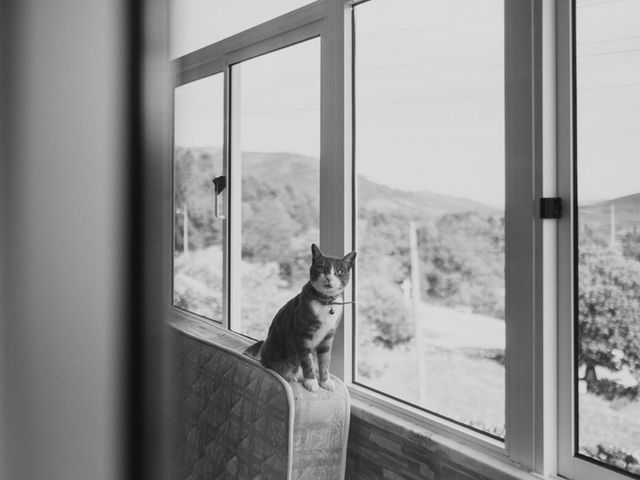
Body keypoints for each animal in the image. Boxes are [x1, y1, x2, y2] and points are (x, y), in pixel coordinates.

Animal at [244, 244, 356, 394]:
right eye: (321, 268)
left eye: (339, 271)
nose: (329, 278)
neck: (325, 303)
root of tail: (262, 360)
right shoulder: (303, 334)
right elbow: (306, 360)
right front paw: (311, 382)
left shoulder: (328, 336)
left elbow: (325, 360)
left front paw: (325, 381)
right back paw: (292, 375)